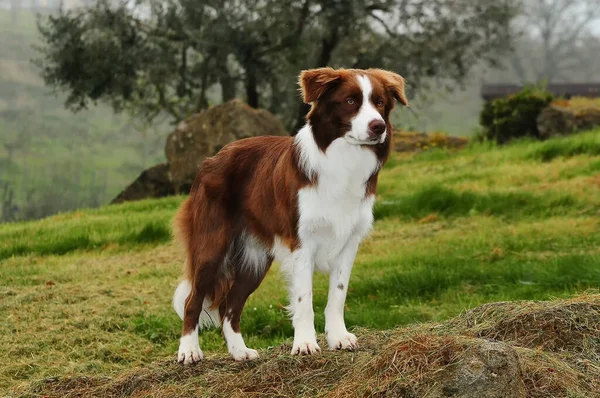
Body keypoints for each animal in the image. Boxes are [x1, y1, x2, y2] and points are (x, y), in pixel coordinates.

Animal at [172, 67, 408, 362]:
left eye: (379, 103)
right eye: (351, 101)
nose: (378, 126)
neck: (343, 157)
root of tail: (211, 159)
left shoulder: (349, 242)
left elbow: (338, 294)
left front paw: (338, 337)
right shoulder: (302, 242)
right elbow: (304, 298)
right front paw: (305, 344)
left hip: (255, 259)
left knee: (229, 307)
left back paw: (240, 351)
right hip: (211, 245)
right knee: (193, 300)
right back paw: (189, 351)